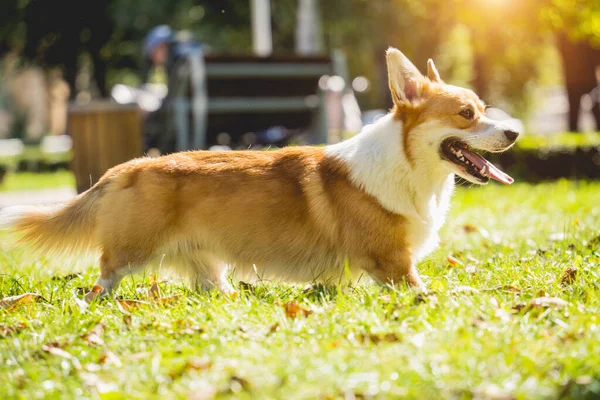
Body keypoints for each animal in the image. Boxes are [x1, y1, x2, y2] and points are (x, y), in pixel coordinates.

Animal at [0, 48, 520, 296]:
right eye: (466, 115)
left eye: (483, 107)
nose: (515, 132)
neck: (411, 170)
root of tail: (125, 168)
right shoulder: (393, 265)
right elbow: (429, 292)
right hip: (129, 254)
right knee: (102, 280)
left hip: (209, 268)